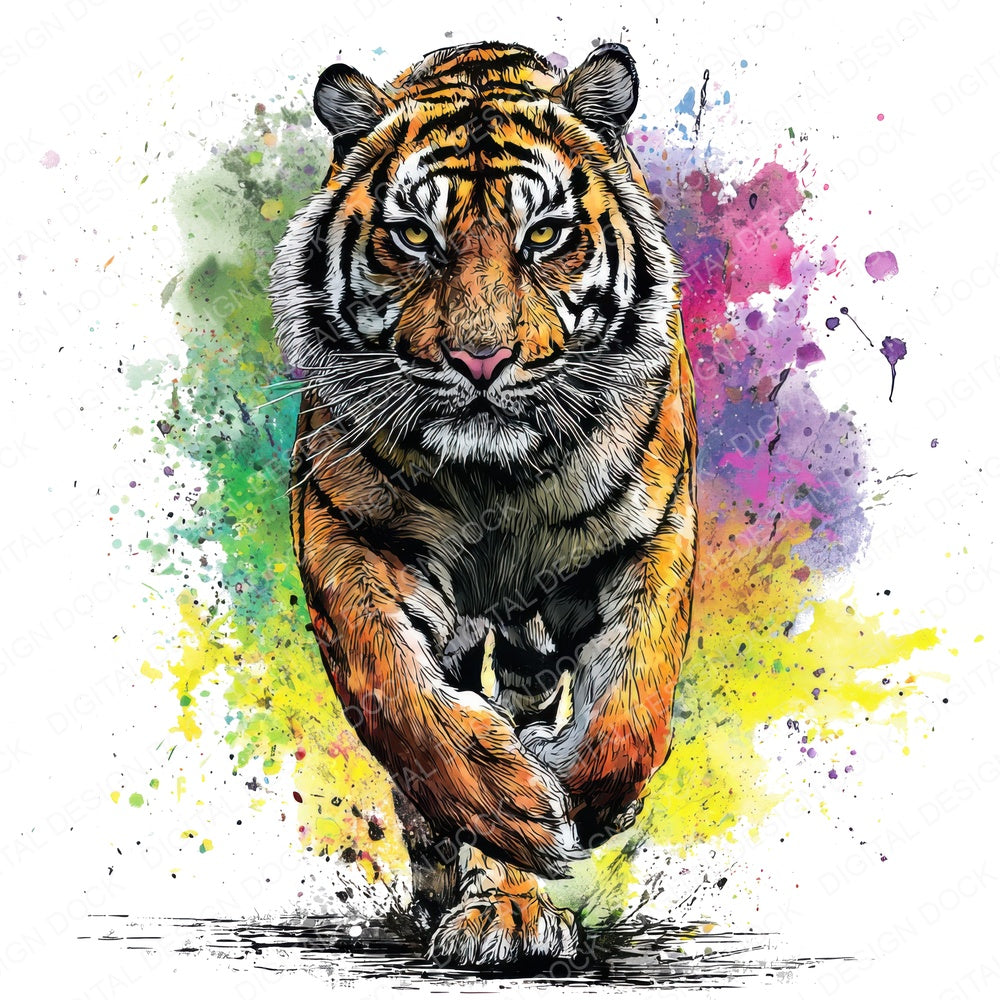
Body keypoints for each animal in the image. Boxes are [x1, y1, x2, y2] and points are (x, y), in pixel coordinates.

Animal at [269, 40, 697, 968]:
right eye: (414, 237)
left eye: (543, 235)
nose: (480, 358)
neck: (497, 483)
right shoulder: (347, 536)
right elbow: (399, 695)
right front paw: (514, 808)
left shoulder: (651, 538)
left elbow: (635, 706)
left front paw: (584, 802)